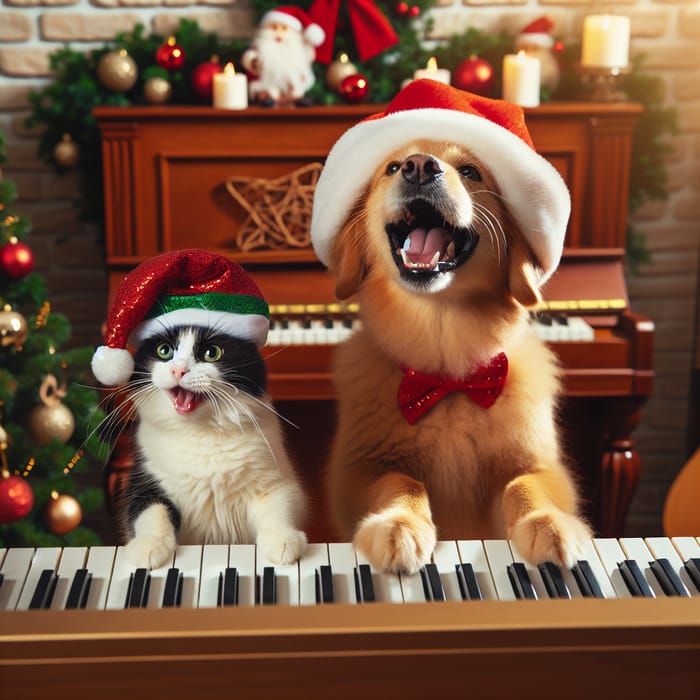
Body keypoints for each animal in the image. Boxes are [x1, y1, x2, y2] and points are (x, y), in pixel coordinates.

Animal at [112, 322, 306, 568]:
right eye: (164, 351)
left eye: (211, 353)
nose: (178, 371)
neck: (200, 432)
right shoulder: (144, 479)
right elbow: (150, 510)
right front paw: (149, 544)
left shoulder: (277, 480)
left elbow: (278, 507)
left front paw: (283, 539)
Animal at [312, 82, 592, 576]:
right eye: (391, 167)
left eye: (471, 171)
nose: (419, 166)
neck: (447, 371)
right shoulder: (356, 471)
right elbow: (401, 479)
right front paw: (399, 524)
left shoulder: (544, 465)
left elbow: (525, 485)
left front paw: (547, 522)